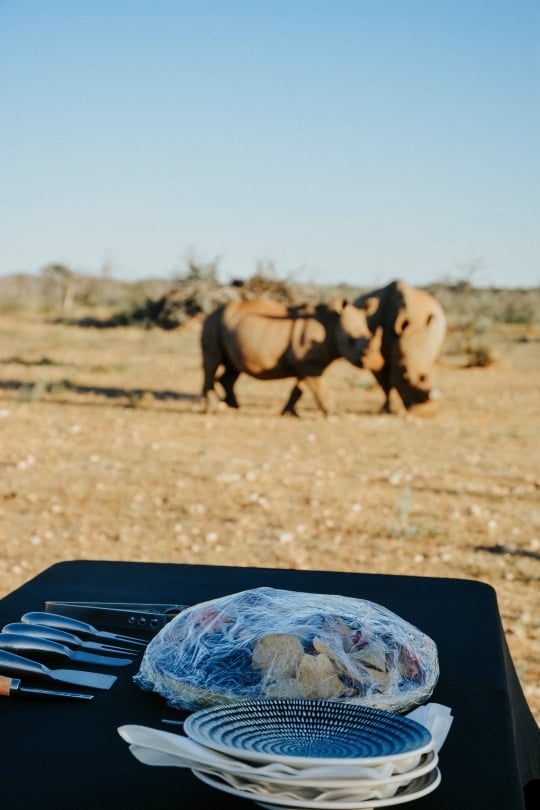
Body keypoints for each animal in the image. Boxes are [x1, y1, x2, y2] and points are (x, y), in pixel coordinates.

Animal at [201, 297, 383, 416]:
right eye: (351, 341)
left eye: (369, 334)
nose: (376, 362)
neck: (333, 324)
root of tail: (211, 313)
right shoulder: (310, 364)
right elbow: (320, 388)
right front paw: (335, 413)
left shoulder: (306, 364)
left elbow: (299, 389)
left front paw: (289, 412)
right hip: (212, 323)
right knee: (212, 362)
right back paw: (213, 409)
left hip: (227, 327)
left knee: (232, 369)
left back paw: (234, 406)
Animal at [354, 279, 446, 413]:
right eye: (404, 378)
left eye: (424, 376)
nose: (426, 413)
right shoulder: (373, 355)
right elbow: (385, 383)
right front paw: (386, 409)